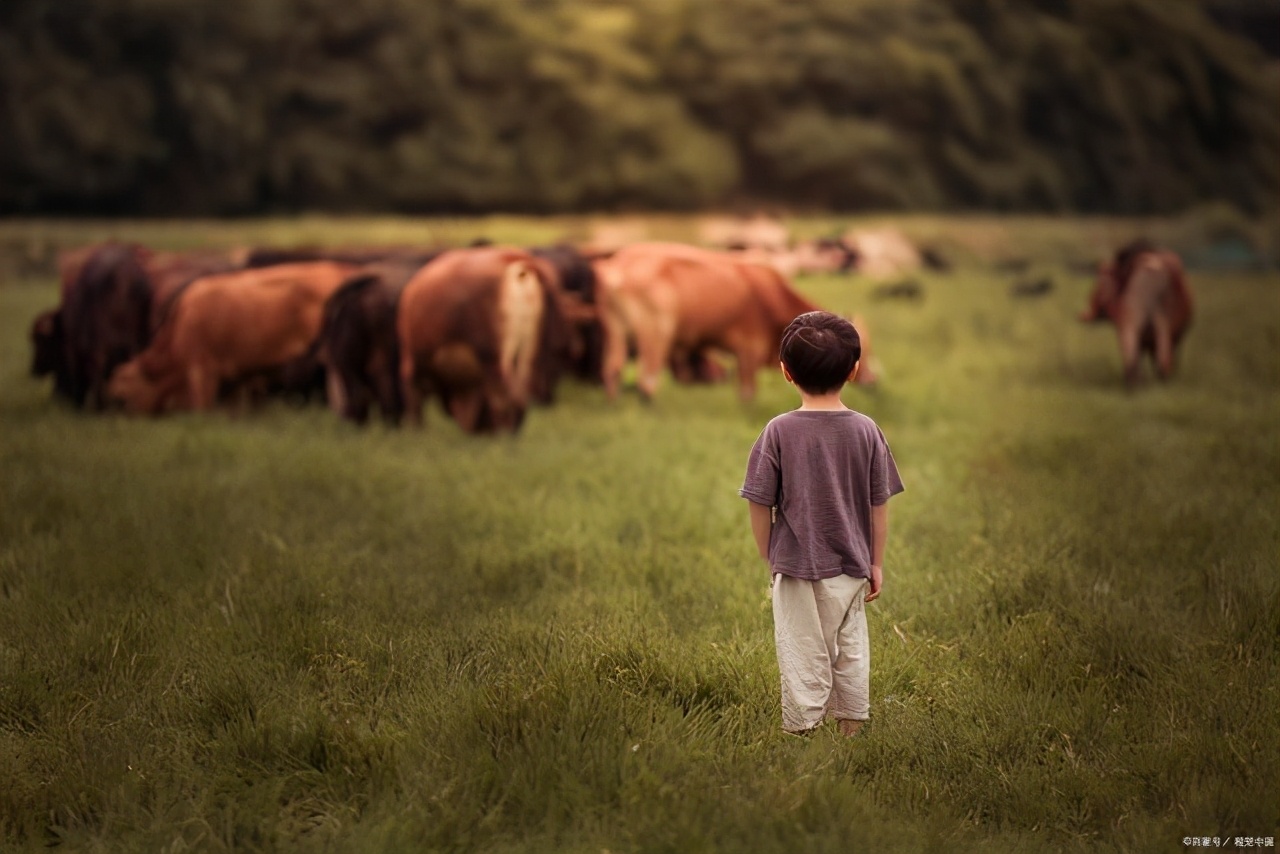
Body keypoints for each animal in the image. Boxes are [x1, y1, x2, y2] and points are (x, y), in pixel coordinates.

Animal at [396, 245, 573, 435]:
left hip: (494, 359)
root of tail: (515, 259)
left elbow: (414, 399)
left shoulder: (413, 361)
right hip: (529, 354)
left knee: (503, 398)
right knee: (519, 395)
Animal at [591, 240, 860, 402]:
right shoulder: (750, 348)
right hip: (655, 334)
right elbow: (748, 391)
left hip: (616, 331)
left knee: (612, 369)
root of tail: (617, 266)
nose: (868, 380)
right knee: (646, 380)